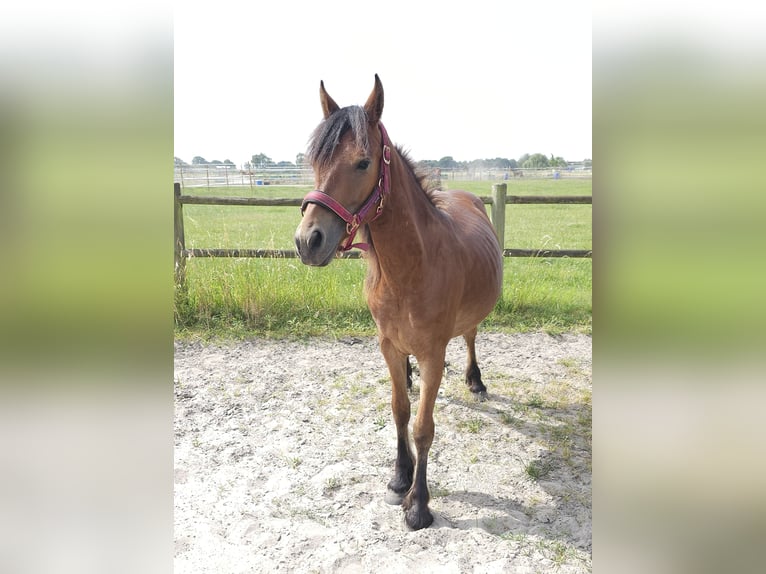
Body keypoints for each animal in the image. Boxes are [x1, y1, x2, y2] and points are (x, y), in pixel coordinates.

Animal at [294, 75, 502, 530]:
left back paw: (475, 380)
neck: (411, 268)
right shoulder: (388, 345)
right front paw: (398, 478)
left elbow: (424, 426)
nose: (307, 241)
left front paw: (419, 503)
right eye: (314, 161)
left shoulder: (432, 352)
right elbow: (399, 411)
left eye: (362, 162)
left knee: (471, 336)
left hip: (467, 325)